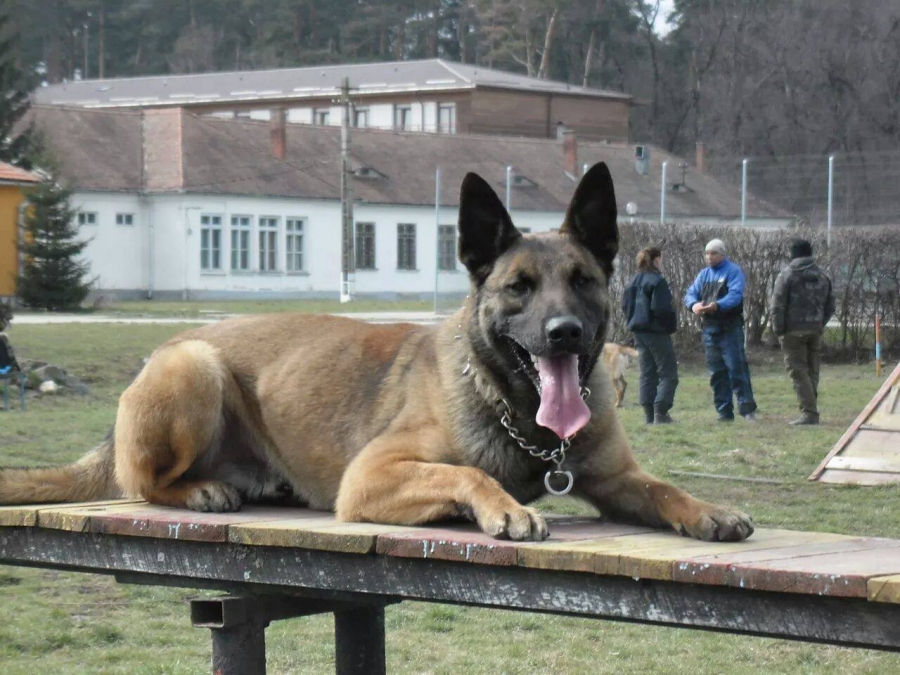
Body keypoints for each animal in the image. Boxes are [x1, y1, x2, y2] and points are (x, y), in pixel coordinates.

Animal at [0, 164, 752, 544]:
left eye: (584, 281)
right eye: (519, 287)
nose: (564, 332)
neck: (513, 410)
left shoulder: (616, 478)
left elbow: (660, 487)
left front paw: (706, 507)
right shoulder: (371, 476)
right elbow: (467, 473)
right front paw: (504, 507)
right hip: (197, 367)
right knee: (140, 482)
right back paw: (199, 488)